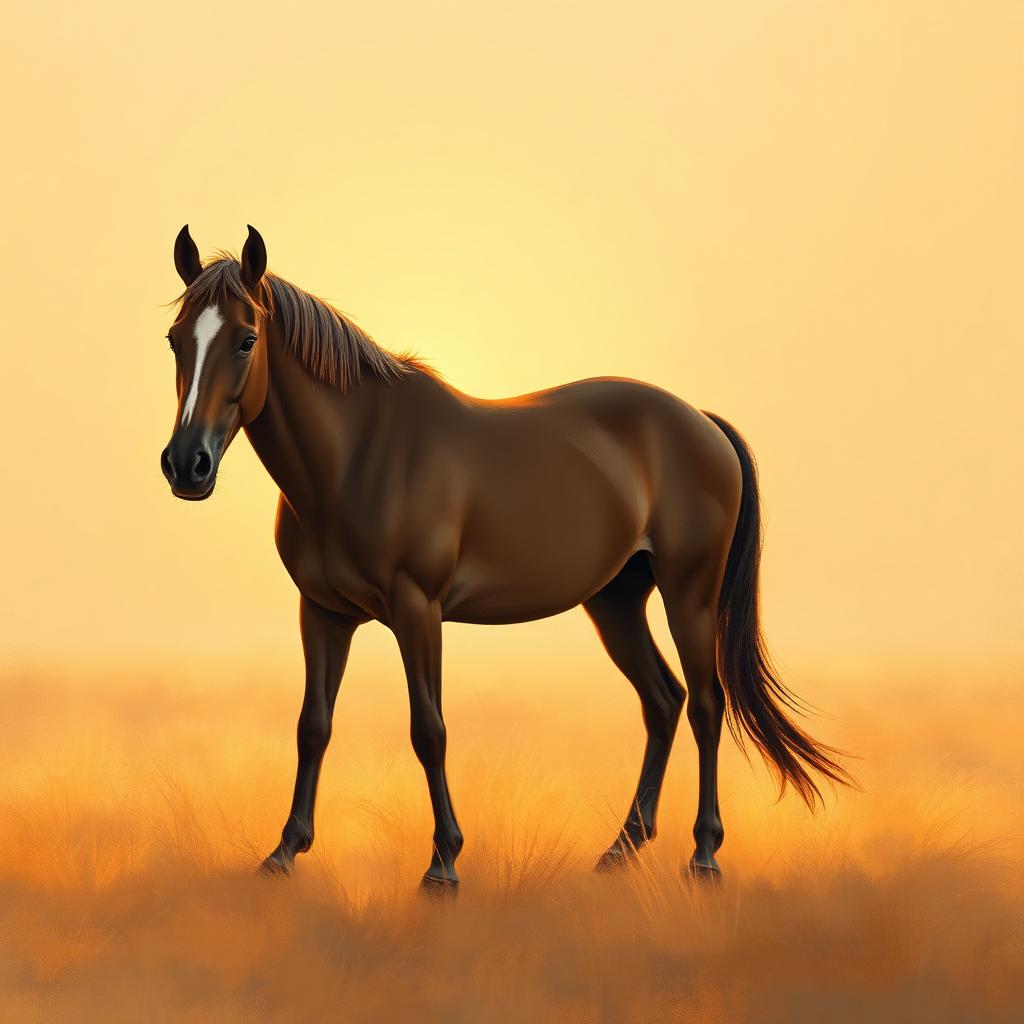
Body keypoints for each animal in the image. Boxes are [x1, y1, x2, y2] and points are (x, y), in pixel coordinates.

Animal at [159, 224, 851, 891]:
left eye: (247, 340)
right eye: (174, 340)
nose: (187, 465)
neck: (359, 455)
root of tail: (701, 423)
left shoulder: (417, 608)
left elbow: (428, 729)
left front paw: (443, 863)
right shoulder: (322, 612)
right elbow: (314, 725)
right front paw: (284, 852)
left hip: (690, 593)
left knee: (707, 704)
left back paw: (703, 856)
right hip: (616, 599)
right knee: (663, 700)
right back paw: (620, 850)